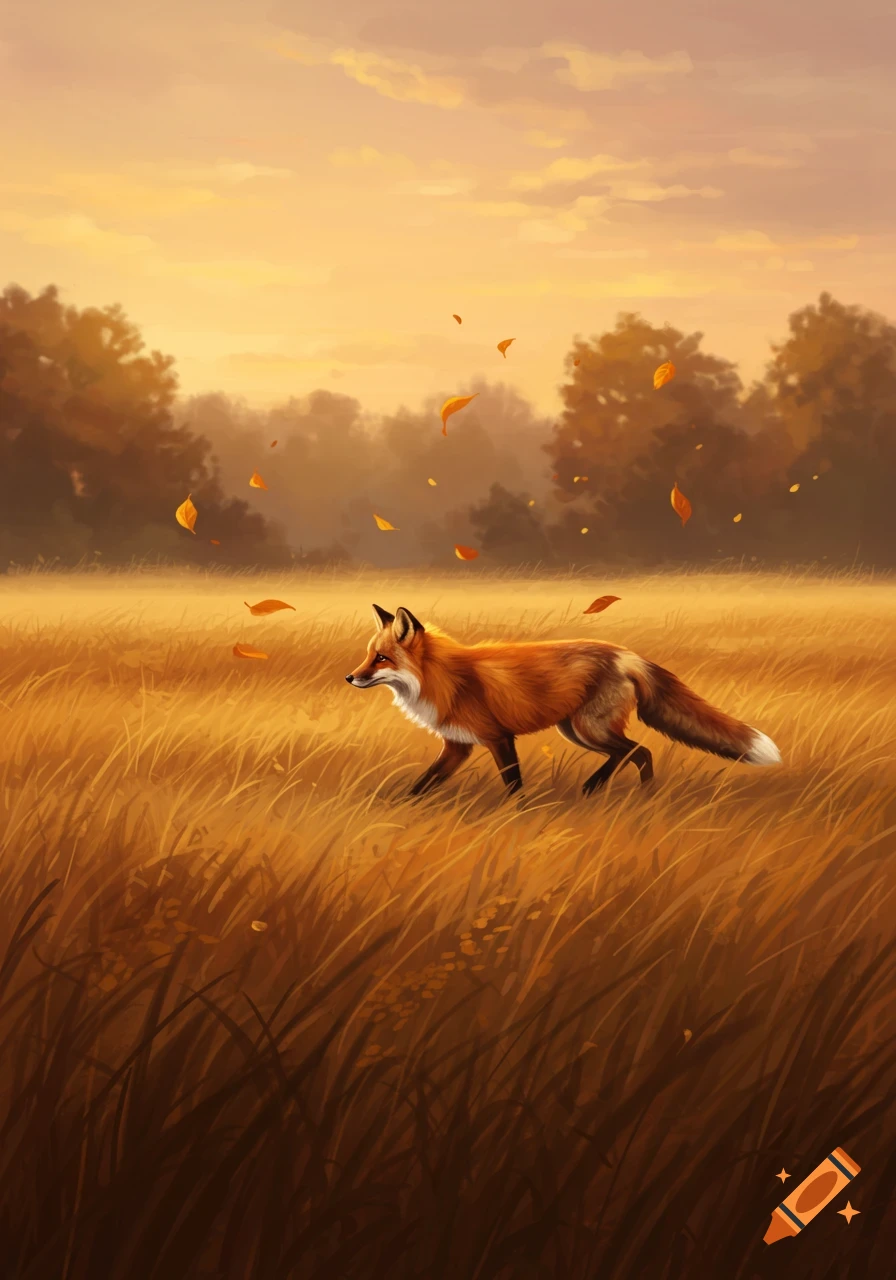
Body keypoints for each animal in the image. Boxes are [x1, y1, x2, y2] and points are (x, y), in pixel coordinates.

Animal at [345, 604, 782, 797]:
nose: (350, 677)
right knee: (632, 753)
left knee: (636, 750)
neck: (444, 678)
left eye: (381, 659)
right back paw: (620, 791)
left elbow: (513, 784)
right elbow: (423, 784)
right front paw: (404, 807)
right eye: (368, 656)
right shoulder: (457, 746)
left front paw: (518, 814)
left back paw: (623, 791)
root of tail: (626, 654)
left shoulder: (498, 738)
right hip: (574, 729)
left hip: (588, 728)